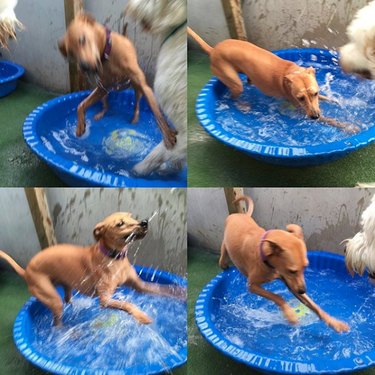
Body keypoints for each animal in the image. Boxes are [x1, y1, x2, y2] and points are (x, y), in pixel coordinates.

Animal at [0, 213, 184, 324]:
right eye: (120, 224)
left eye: (131, 216)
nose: (144, 222)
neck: (114, 258)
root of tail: (26, 271)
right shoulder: (105, 299)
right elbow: (127, 304)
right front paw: (141, 316)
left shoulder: (140, 285)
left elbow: (161, 288)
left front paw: (180, 292)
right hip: (51, 297)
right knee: (57, 322)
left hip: (66, 287)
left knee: (68, 300)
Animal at [57, 13, 178, 148]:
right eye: (70, 53)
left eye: (82, 39)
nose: (83, 67)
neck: (107, 54)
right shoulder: (102, 87)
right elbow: (80, 105)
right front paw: (80, 127)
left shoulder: (143, 86)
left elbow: (158, 114)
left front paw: (167, 134)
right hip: (103, 92)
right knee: (106, 105)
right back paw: (101, 114)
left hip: (137, 90)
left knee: (137, 105)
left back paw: (135, 118)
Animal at [189, 27, 328, 119]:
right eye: (300, 98)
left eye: (315, 93)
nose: (315, 116)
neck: (292, 72)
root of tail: (213, 50)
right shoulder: (296, 103)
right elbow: (328, 120)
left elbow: (325, 98)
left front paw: (331, 99)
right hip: (235, 83)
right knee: (232, 98)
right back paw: (243, 105)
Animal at [220, 195, 350, 334]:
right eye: (291, 271)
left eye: (305, 267)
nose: (303, 290)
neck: (265, 254)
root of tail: (239, 215)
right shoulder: (252, 286)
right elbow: (277, 296)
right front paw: (290, 315)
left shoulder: (292, 284)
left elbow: (314, 306)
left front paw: (334, 322)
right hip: (225, 245)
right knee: (223, 252)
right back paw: (223, 263)